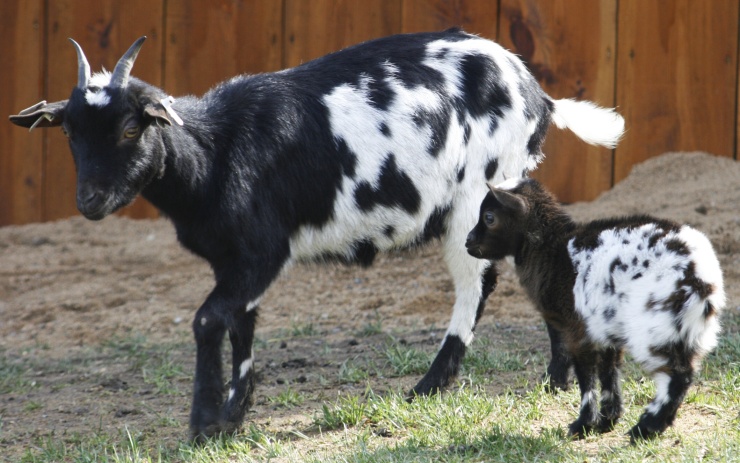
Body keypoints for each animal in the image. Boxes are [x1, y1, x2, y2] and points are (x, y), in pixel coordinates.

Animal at [466, 179, 724, 442]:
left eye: (489, 217)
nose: (468, 241)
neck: (551, 249)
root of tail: (700, 274)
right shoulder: (606, 329)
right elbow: (609, 372)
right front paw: (608, 420)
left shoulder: (576, 328)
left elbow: (585, 374)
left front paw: (583, 424)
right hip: (686, 328)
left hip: (654, 326)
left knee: (677, 375)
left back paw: (646, 428)